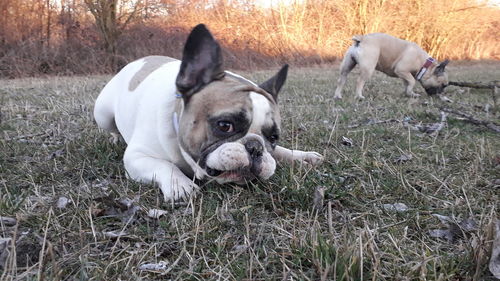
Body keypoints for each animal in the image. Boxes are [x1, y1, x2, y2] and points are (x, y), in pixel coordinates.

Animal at [94, 23, 324, 199]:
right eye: (225, 126)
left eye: (274, 137)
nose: (255, 148)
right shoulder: (137, 157)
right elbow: (164, 166)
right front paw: (180, 185)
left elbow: (279, 153)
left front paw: (300, 156)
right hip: (102, 114)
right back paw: (115, 138)